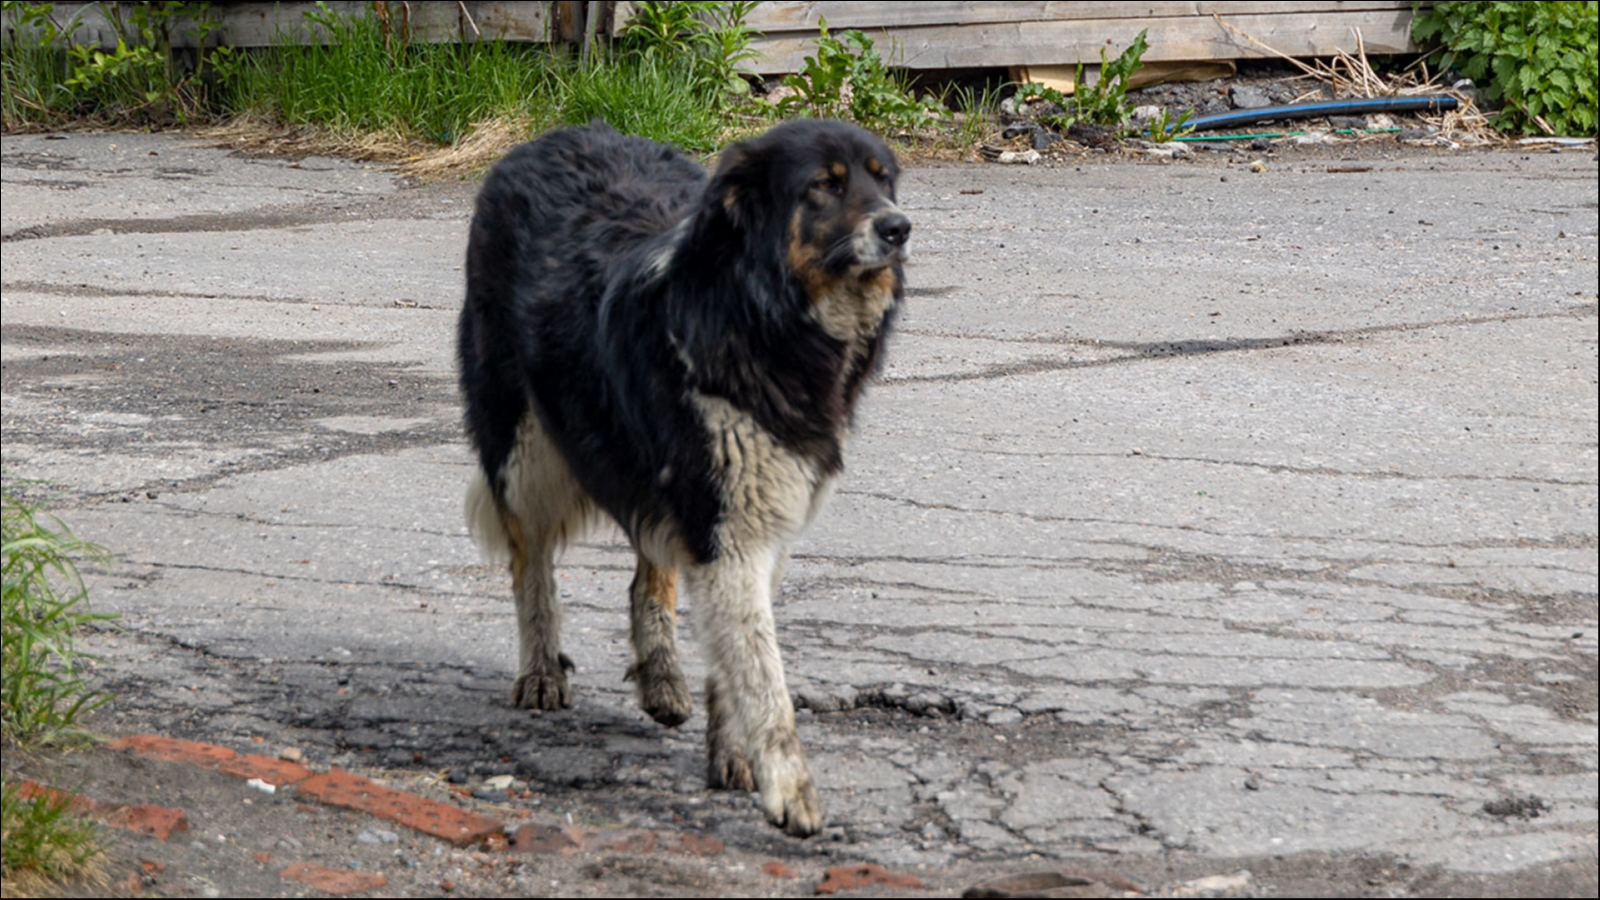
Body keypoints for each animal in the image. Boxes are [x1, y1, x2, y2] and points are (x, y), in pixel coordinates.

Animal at [460, 119, 915, 832]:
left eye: (883, 179)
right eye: (825, 185)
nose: (899, 228)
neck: (763, 319)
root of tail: (559, 131)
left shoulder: (756, 519)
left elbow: (734, 662)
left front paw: (733, 757)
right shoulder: (730, 529)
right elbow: (764, 678)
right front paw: (791, 789)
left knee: (650, 573)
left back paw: (661, 676)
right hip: (524, 450)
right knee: (531, 564)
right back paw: (540, 673)